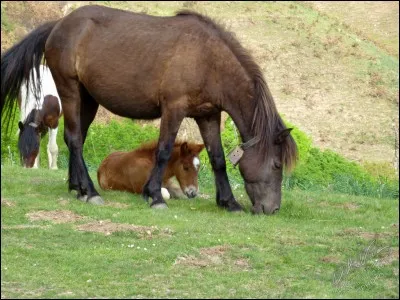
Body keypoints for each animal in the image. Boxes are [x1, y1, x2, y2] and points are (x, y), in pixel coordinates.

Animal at [0, 5, 296, 216]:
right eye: (277, 164)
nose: (272, 209)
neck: (208, 59)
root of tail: (59, 25)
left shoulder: (208, 115)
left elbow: (218, 158)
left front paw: (229, 202)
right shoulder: (174, 109)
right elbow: (163, 151)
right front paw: (153, 196)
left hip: (88, 99)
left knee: (77, 139)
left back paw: (77, 187)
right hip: (70, 91)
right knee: (73, 139)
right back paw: (91, 191)